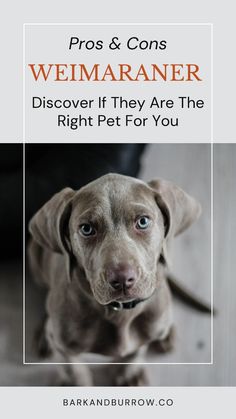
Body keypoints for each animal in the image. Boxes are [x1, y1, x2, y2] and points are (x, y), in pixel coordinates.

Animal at [27, 174, 201, 388]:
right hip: (33, 255)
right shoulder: (64, 346)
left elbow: (136, 351)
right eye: (86, 229)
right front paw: (76, 382)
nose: (122, 279)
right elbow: (73, 369)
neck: (120, 312)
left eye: (143, 221)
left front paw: (129, 374)